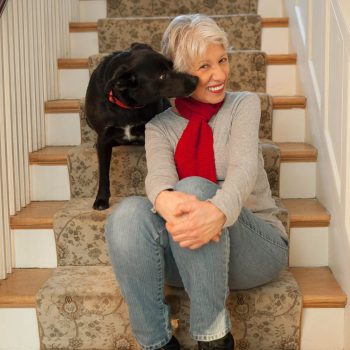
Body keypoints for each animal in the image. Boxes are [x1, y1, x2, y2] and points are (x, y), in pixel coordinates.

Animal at [85, 42, 198, 209]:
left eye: (172, 65)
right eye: (162, 75)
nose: (196, 80)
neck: (126, 106)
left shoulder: (150, 133)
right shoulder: (104, 139)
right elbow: (103, 173)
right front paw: (101, 199)